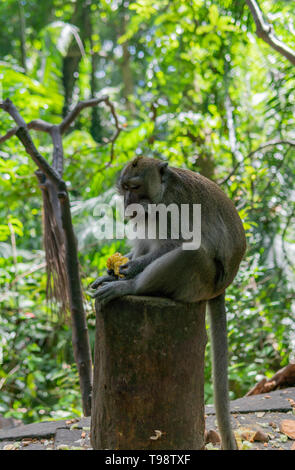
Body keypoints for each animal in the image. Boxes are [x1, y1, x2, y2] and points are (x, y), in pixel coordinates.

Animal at [91, 156, 246, 450]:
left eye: (135, 187)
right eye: (124, 188)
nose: (128, 203)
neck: (162, 191)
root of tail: (222, 286)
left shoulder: (172, 208)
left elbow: (179, 241)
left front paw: (129, 270)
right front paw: (112, 270)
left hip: (200, 282)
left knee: (192, 253)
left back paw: (131, 286)